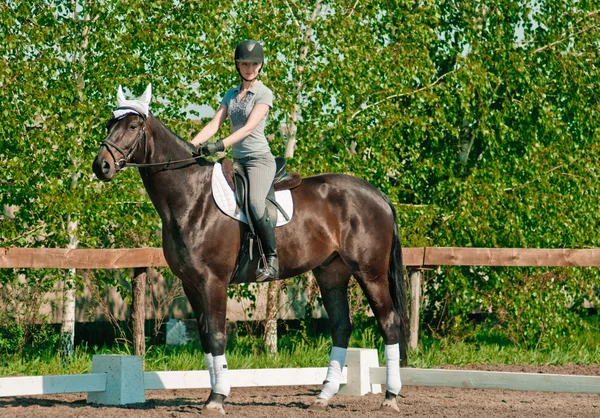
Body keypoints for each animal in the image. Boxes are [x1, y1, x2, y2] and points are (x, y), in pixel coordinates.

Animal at [91, 85, 410, 414]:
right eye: (109, 124)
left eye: (132, 126)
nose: (101, 166)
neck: (191, 196)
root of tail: (377, 195)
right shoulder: (191, 283)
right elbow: (205, 338)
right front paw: (213, 394)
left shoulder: (213, 281)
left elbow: (217, 335)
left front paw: (217, 398)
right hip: (331, 273)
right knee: (341, 327)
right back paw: (324, 395)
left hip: (370, 273)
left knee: (389, 323)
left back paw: (390, 397)